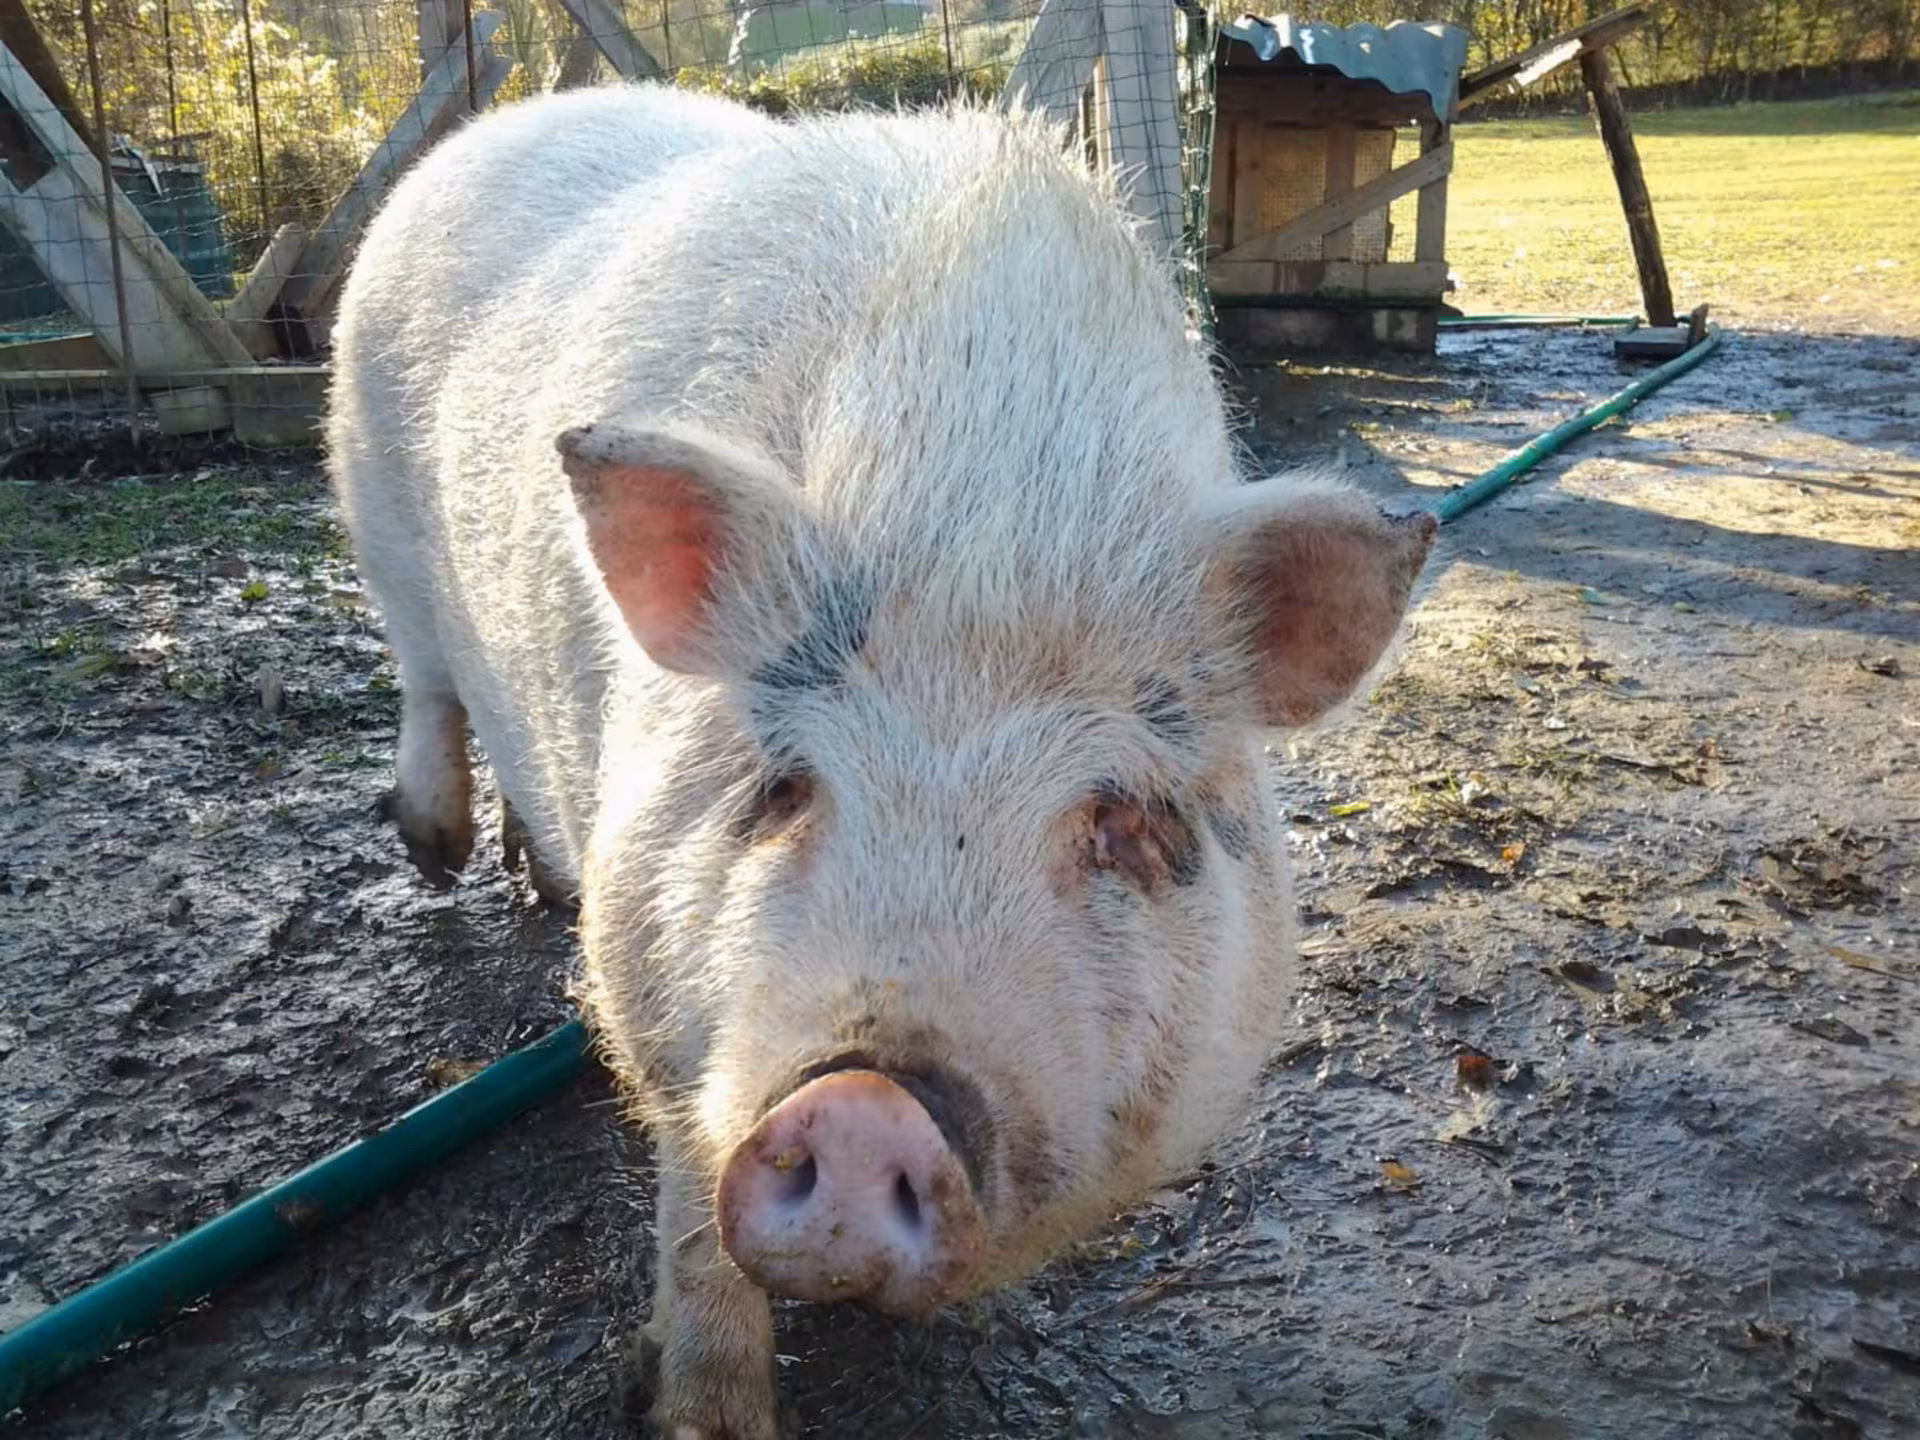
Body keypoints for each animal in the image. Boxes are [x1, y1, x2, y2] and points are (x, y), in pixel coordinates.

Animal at [326, 82, 1435, 1439]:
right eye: (785, 785)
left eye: (1118, 818)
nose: (863, 1106)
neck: (991, 510)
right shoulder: (658, 1002)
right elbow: (692, 1213)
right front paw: (707, 1418)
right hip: (366, 492)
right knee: (427, 676)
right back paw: (434, 854)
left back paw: (539, 881)